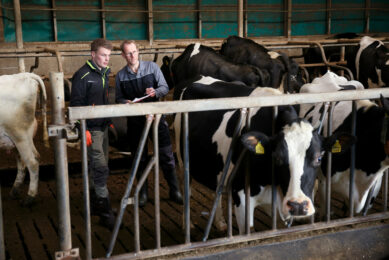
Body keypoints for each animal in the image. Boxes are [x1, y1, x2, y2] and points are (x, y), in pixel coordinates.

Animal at [0, 72, 49, 206]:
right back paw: (15, 190)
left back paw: (30, 197)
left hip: (19, 135)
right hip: (23, 138)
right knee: (25, 161)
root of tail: (26, 75)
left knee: (32, 162)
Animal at [173, 75, 352, 234]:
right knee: (186, 189)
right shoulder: (241, 198)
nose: (298, 206)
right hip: (183, 160)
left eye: (319, 158)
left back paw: (220, 223)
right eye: (277, 158)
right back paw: (187, 225)